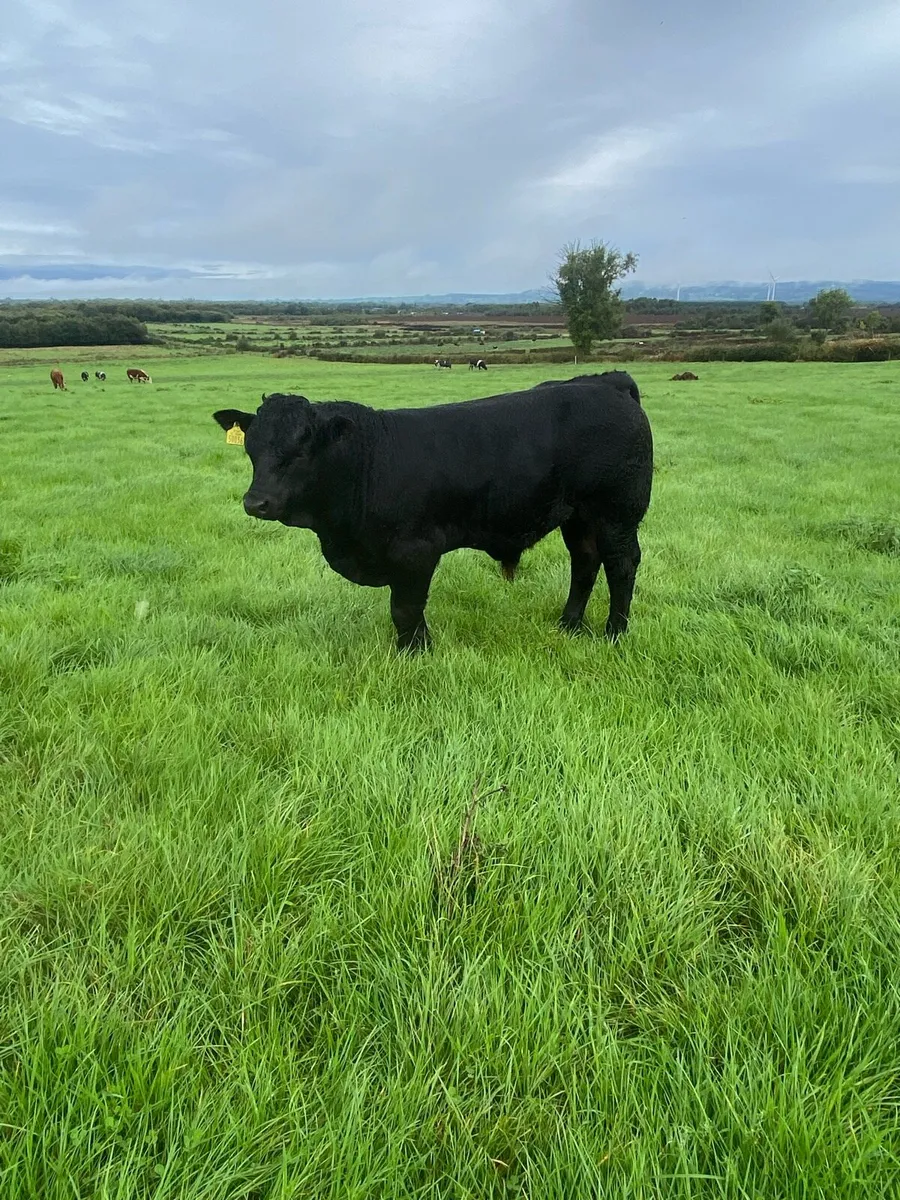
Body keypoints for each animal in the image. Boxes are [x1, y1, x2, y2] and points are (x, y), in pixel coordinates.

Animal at [212, 375, 653, 653]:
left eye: (302, 449)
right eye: (251, 447)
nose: (256, 502)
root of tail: (608, 384)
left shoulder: (416, 550)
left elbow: (405, 609)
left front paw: (414, 653)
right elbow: (408, 609)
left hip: (617, 512)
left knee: (621, 564)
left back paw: (614, 633)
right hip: (577, 516)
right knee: (585, 561)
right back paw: (569, 625)